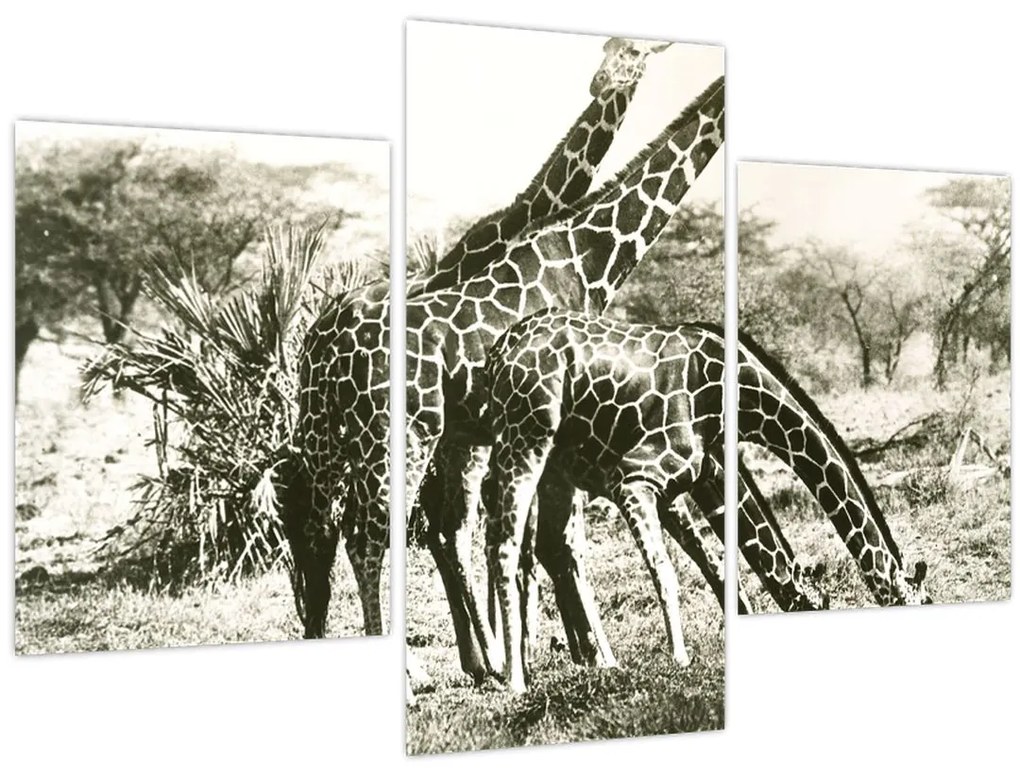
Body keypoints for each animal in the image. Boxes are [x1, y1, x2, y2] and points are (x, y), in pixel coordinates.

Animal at [280, 37, 673, 645]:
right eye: (612, 53)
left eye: (628, 53)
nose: (602, 82)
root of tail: (316, 339)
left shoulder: (475, 432)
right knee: (358, 530)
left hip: (332, 434)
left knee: (328, 525)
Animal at [404, 76, 725, 685]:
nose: (605, 80)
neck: (580, 251)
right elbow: (554, 544)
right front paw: (587, 656)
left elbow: (543, 544)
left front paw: (563, 651)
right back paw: (475, 663)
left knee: (438, 529)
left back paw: (482, 659)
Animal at [483, 311, 930, 691]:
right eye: (923, 600)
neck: (741, 392)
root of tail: (499, 350)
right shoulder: (635, 478)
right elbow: (668, 569)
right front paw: (680, 659)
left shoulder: (702, 474)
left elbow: (722, 563)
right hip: (526, 440)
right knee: (506, 545)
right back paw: (517, 678)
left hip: (551, 469)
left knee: (542, 550)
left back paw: (572, 664)